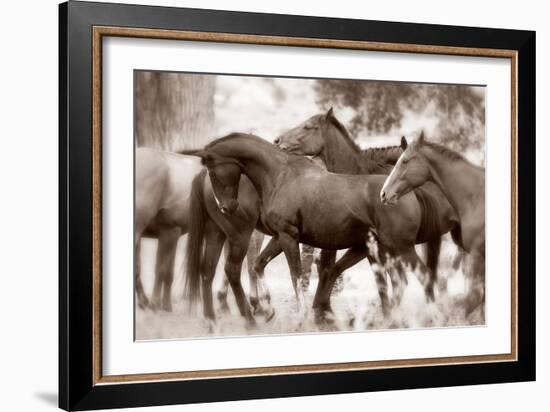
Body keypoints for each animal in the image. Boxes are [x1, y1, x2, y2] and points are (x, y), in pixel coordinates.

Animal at [188, 134, 446, 324]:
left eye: (214, 169)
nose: (227, 207)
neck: (280, 176)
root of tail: (404, 195)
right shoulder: (282, 237)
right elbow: (262, 265)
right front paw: (272, 309)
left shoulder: (288, 237)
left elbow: (295, 274)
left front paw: (302, 315)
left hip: (400, 248)